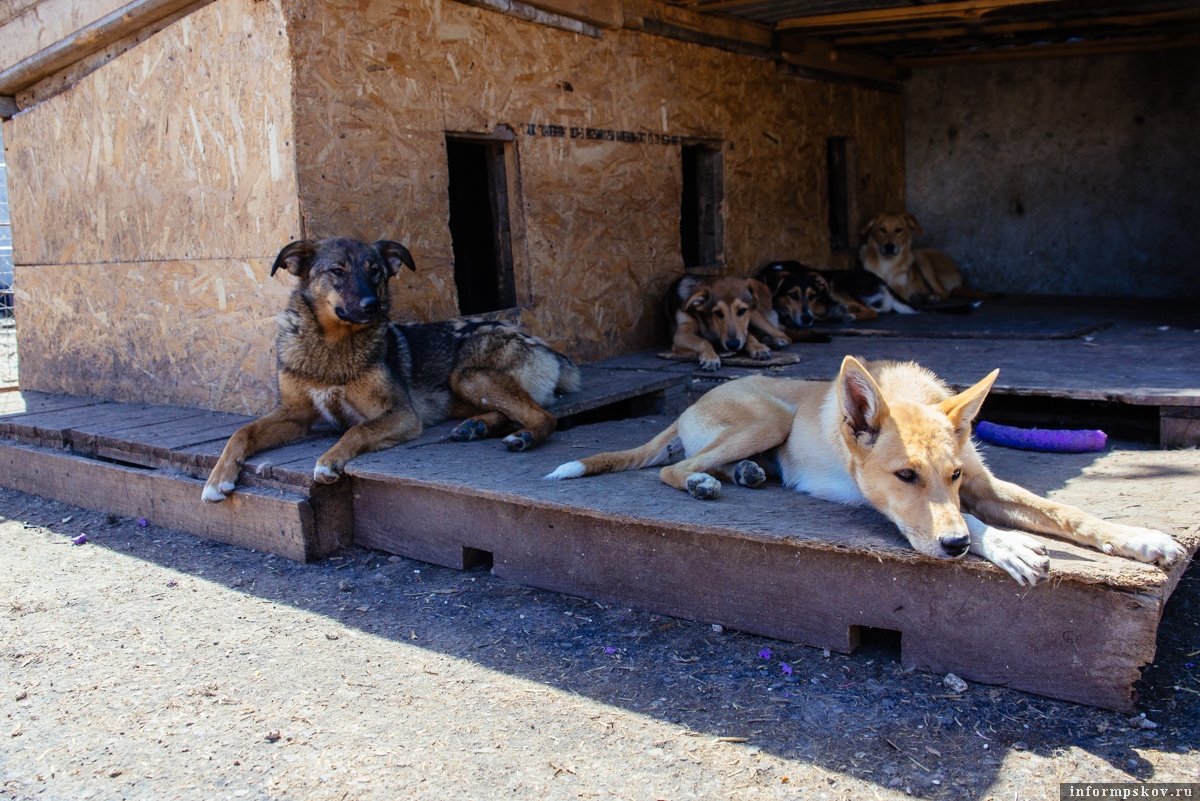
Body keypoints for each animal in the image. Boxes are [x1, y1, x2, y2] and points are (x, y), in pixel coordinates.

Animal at [204, 235, 578, 503]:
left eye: (375, 271)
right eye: (337, 271)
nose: (372, 305)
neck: (332, 345)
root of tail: (549, 349)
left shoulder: (402, 414)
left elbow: (357, 430)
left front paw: (330, 459)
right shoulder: (294, 415)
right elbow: (242, 432)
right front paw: (217, 478)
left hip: (468, 375)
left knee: (543, 416)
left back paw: (522, 436)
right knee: (512, 412)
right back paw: (476, 427)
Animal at [549, 354, 1185, 582]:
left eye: (954, 476)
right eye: (905, 476)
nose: (955, 549)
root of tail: (688, 405)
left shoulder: (984, 484)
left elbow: (1065, 510)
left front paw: (1144, 539)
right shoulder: (890, 508)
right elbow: (971, 523)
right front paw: (1006, 545)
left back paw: (747, 474)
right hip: (769, 418)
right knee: (671, 470)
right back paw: (708, 480)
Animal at [758, 261, 916, 326]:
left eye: (812, 296)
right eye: (792, 295)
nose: (807, 319)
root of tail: (884, 284)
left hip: (837, 284)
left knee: (871, 311)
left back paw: (846, 316)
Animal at [864, 212, 993, 306]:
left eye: (899, 229)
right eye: (882, 229)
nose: (889, 246)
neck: (887, 264)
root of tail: (960, 281)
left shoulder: (900, 288)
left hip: (920, 256)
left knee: (944, 293)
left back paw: (932, 297)